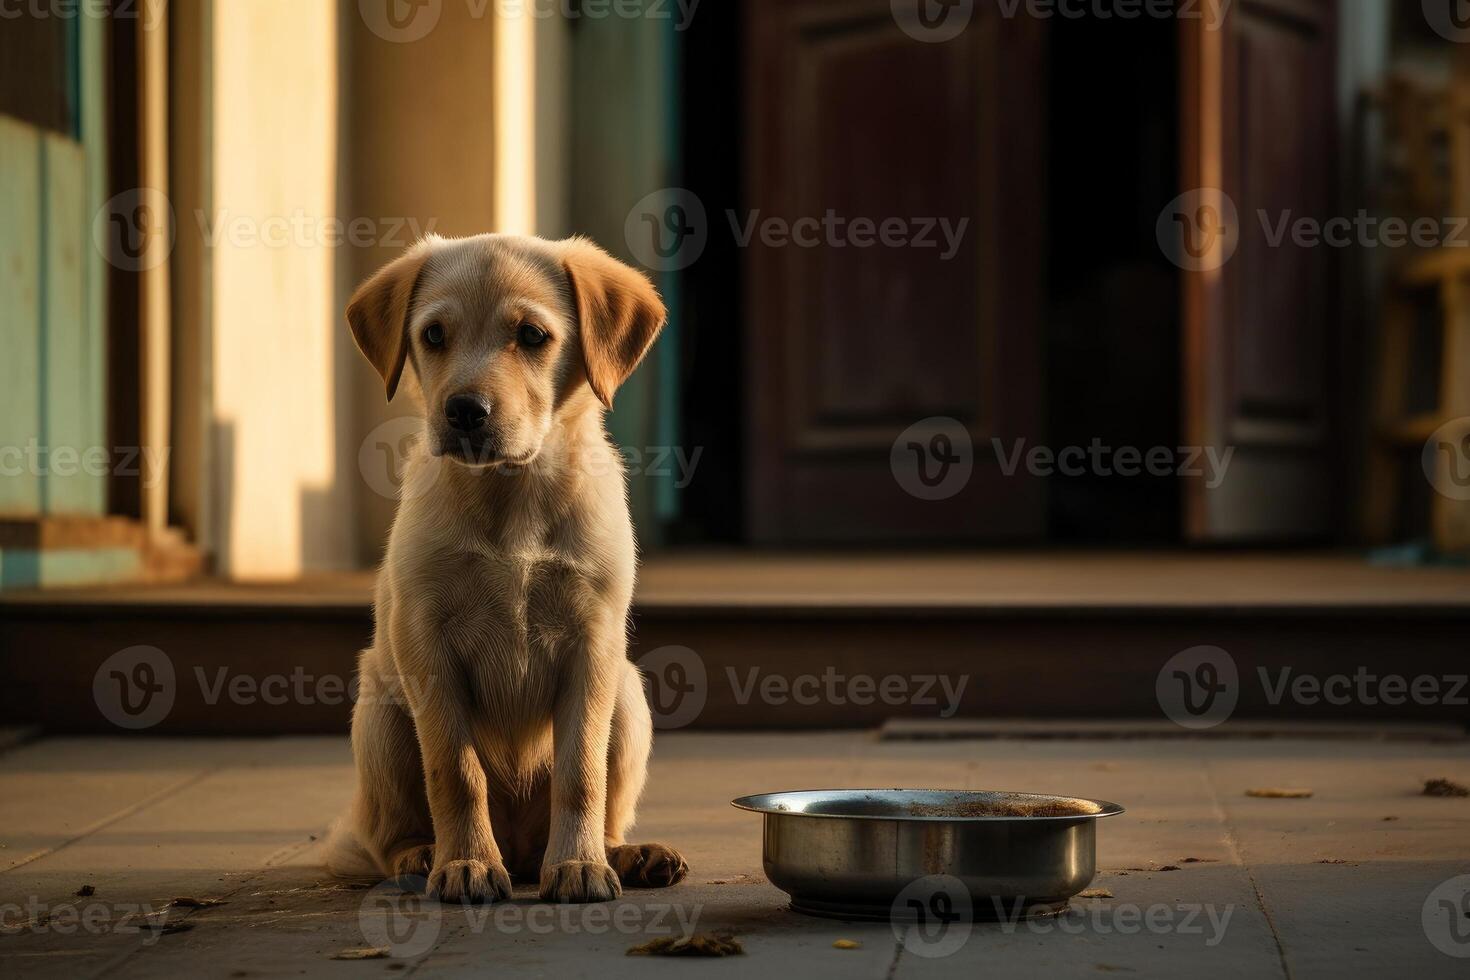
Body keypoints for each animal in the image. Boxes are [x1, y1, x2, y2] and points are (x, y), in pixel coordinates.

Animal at [336, 232, 690, 905]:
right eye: (434, 335)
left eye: (532, 336)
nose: (464, 411)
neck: (513, 493)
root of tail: (524, 851)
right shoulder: (427, 645)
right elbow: (456, 770)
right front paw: (467, 863)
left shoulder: (593, 645)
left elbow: (580, 772)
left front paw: (578, 864)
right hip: (380, 718)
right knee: (385, 837)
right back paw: (424, 855)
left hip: (629, 698)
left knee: (603, 805)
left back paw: (624, 854)